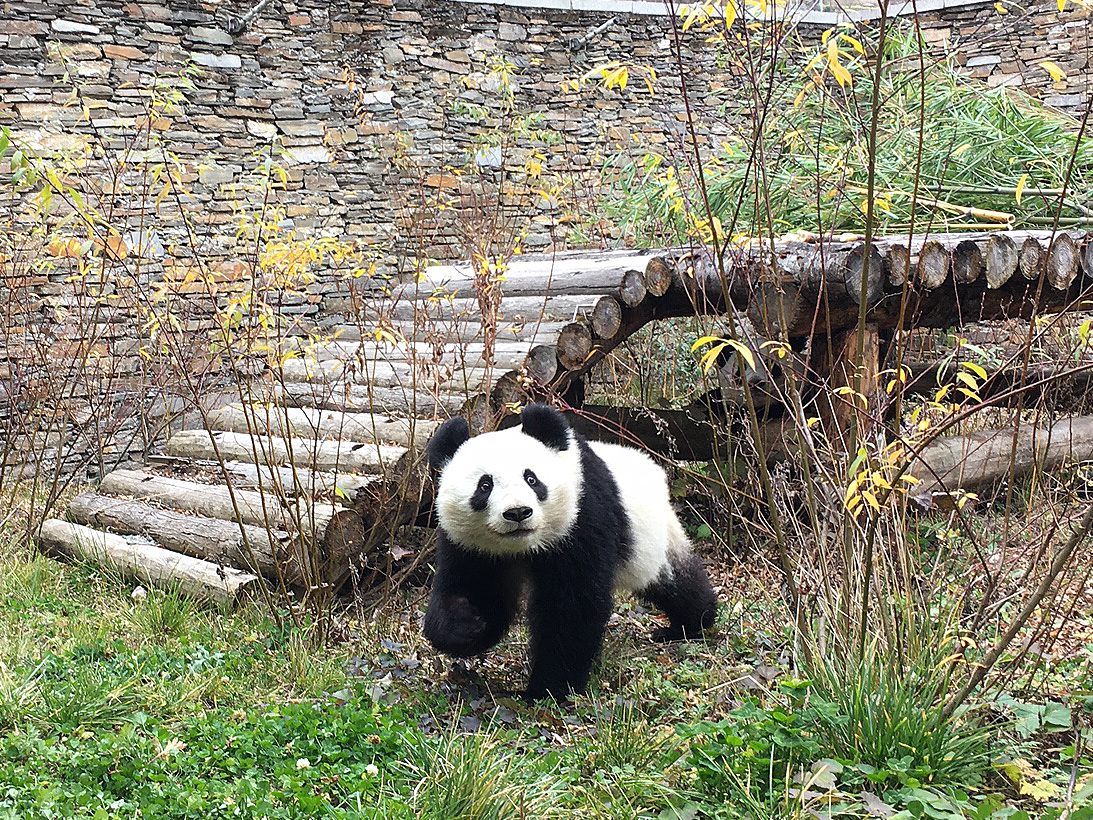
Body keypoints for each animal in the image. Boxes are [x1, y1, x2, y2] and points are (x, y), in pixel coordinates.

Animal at [419, 402, 717, 699]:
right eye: (484, 485)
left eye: (532, 479)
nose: (518, 513)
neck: (524, 546)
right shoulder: (471, 545)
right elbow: (477, 591)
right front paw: (465, 624)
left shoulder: (582, 516)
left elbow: (573, 605)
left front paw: (547, 689)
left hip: (651, 537)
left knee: (674, 580)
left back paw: (691, 623)